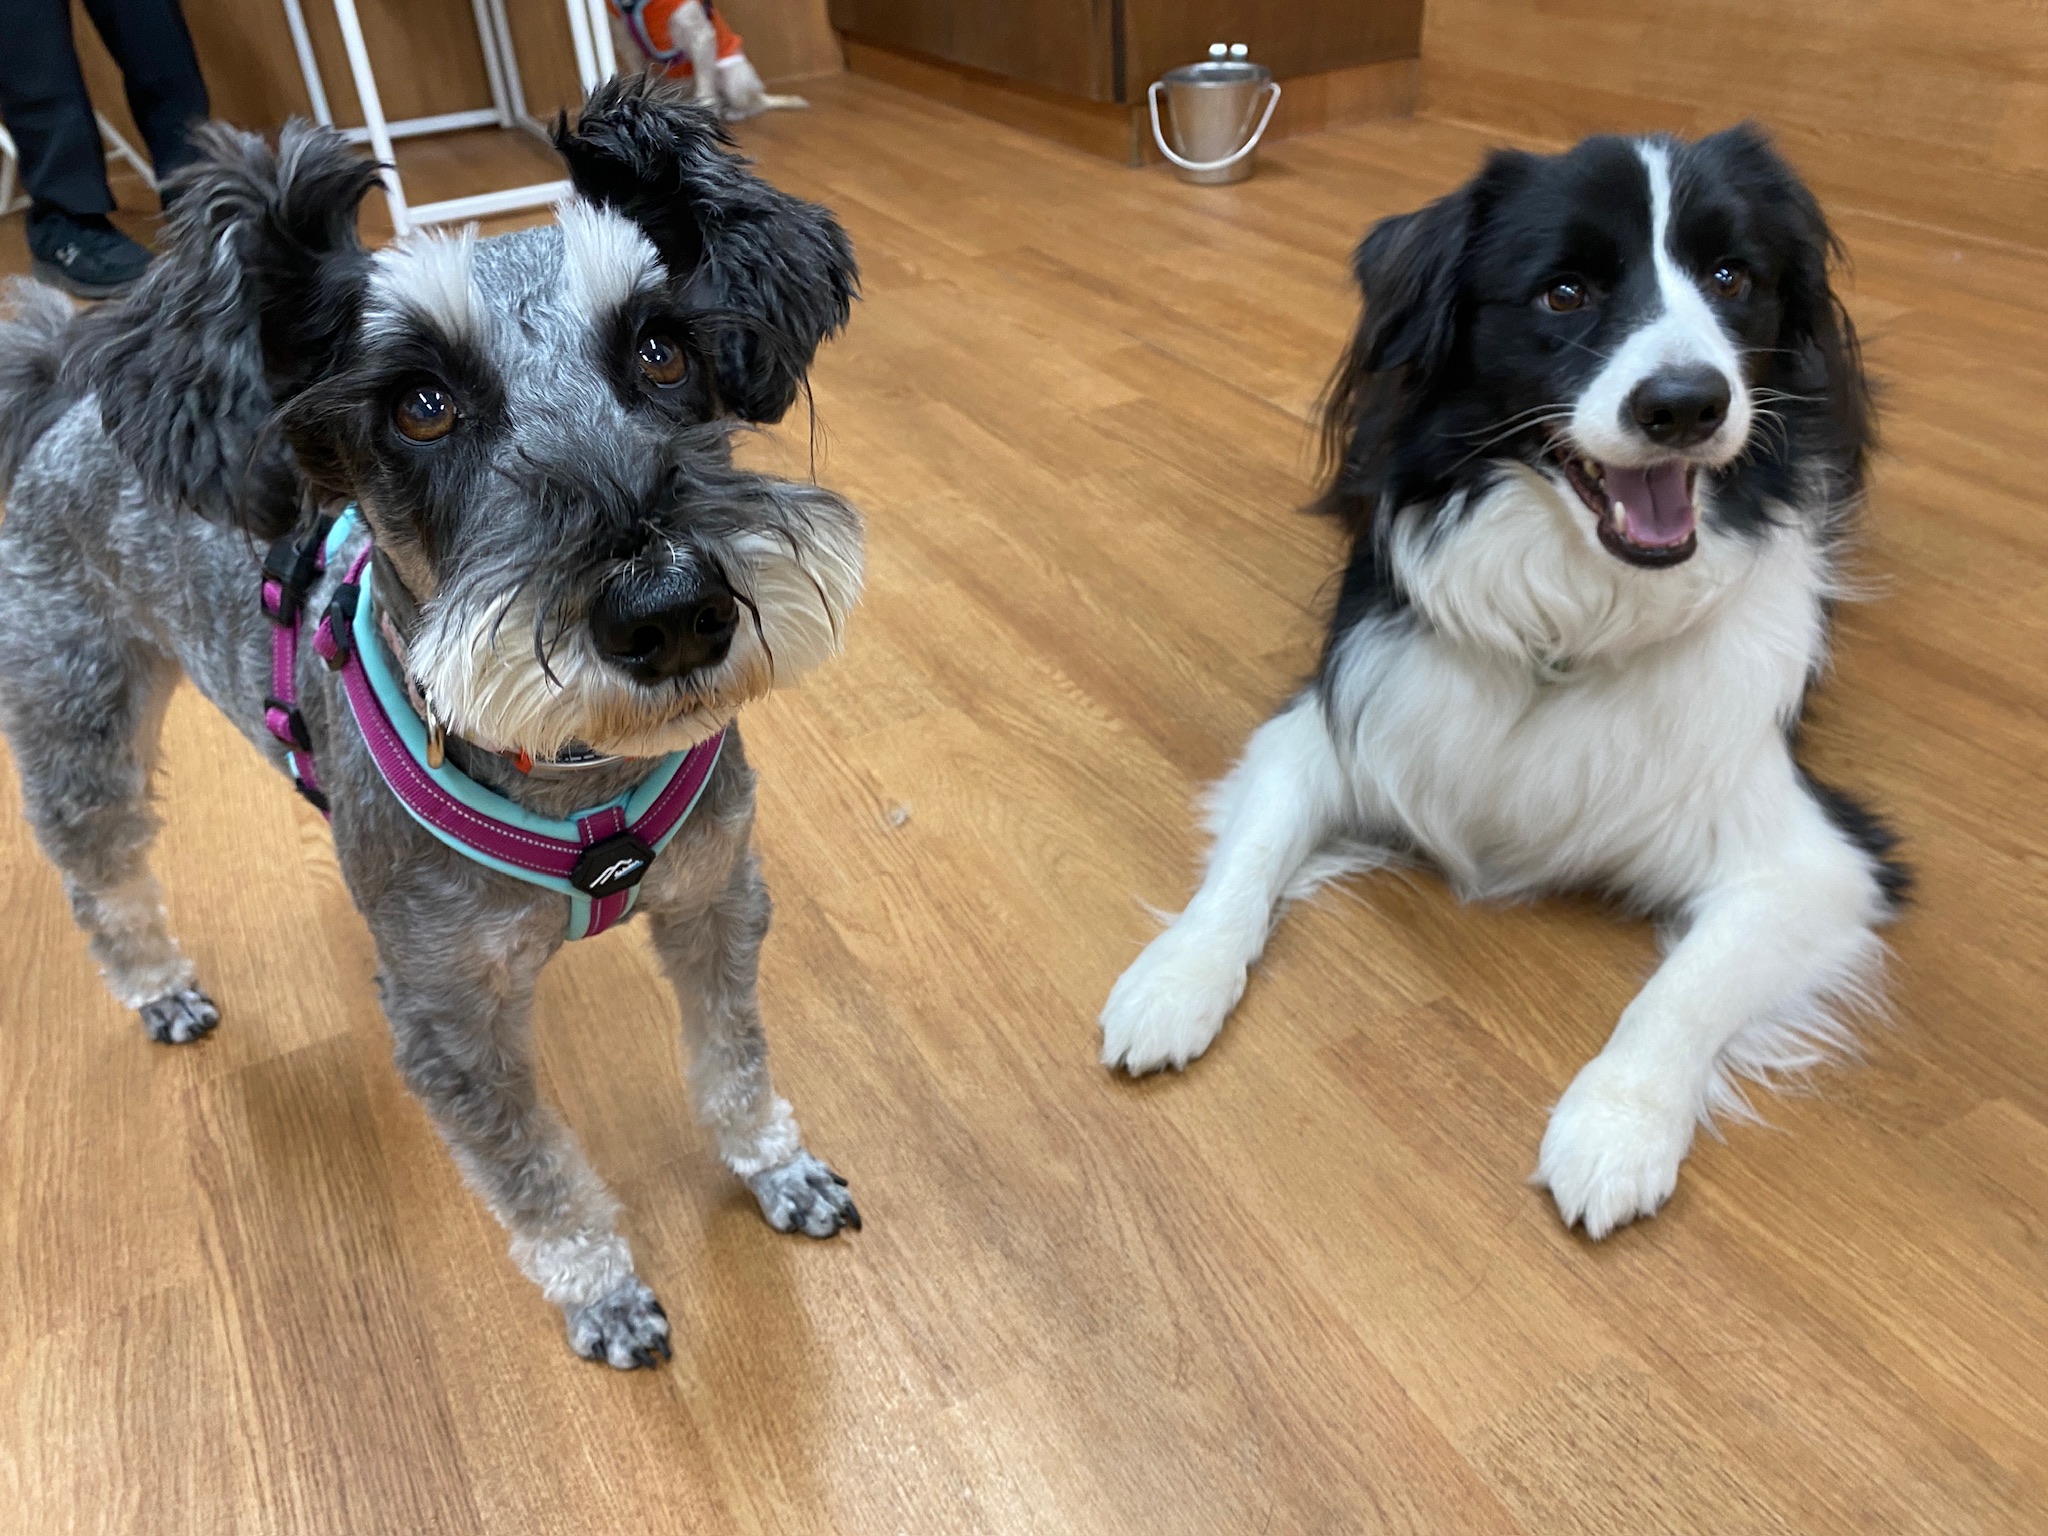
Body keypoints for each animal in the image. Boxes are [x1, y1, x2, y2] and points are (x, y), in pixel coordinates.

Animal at [0, 75, 865, 1367]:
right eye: (421, 405)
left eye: (661, 348)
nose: (671, 609)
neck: (575, 782)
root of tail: (64, 390)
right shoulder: (449, 1017)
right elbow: (533, 1172)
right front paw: (599, 1288)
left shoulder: (715, 903)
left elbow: (730, 1060)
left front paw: (776, 1167)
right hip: (78, 720)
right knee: (100, 875)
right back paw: (156, 985)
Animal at [1099, 125, 1906, 1239]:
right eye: (1563, 293)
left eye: (1731, 278)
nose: (1687, 404)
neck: (1574, 612)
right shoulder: (1330, 724)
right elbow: (1243, 869)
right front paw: (1172, 979)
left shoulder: (1814, 859)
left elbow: (1683, 989)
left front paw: (1614, 1128)